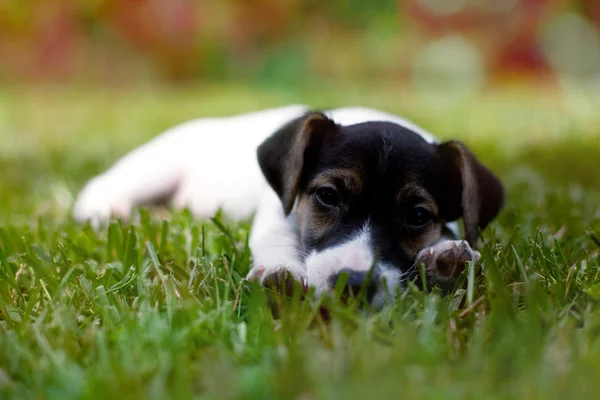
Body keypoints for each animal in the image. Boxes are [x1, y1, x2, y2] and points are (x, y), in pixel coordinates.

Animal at [71, 104, 502, 308]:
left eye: (417, 216)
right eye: (327, 196)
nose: (353, 285)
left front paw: (446, 257)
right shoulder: (277, 210)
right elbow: (276, 240)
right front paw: (283, 274)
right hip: (155, 165)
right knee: (103, 184)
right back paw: (108, 210)